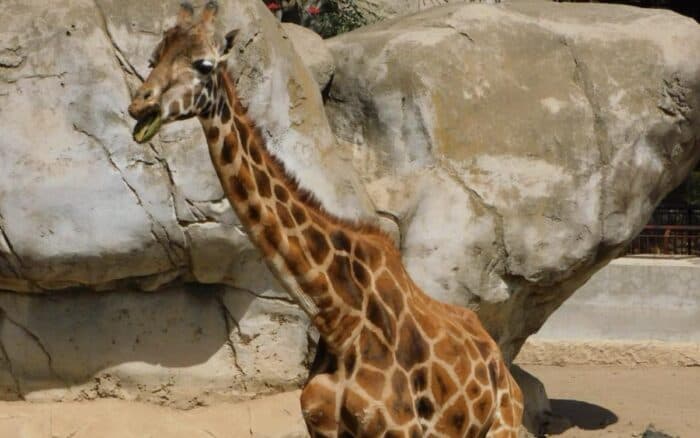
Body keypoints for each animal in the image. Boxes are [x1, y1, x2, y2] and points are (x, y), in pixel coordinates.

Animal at [128, 2, 524, 437]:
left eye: (203, 64)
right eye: (154, 59)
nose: (140, 105)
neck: (339, 319)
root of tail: (502, 367)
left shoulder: (397, 429)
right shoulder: (323, 426)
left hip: (503, 425)